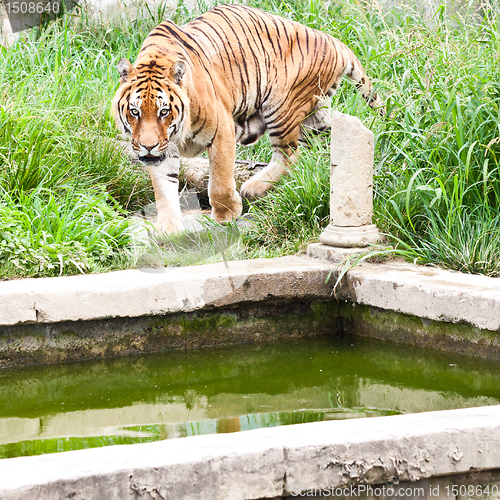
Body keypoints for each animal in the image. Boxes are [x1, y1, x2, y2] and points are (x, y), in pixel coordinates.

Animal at [113, 2, 384, 233]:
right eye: (135, 111)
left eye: (164, 112)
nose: (148, 147)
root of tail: (334, 41)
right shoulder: (165, 149)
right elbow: (164, 189)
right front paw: (168, 229)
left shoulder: (221, 130)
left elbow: (220, 180)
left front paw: (226, 216)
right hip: (314, 113)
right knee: (322, 140)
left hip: (280, 105)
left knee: (290, 154)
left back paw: (253, 187)